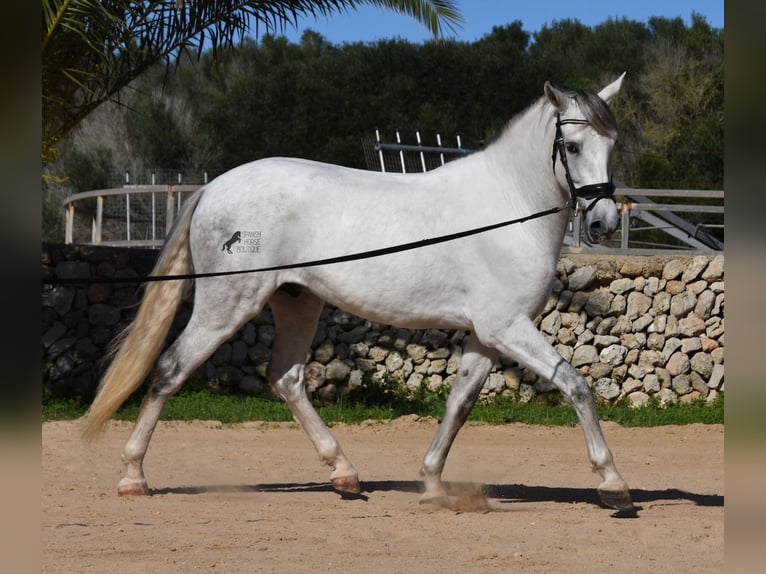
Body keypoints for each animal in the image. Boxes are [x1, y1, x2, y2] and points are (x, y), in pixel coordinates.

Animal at [82, 73, 636, 512]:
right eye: (572, 147)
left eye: (612, 145)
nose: (605, 223)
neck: (508, 208)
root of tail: (213, 187)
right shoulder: (507, 327)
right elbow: (576, 384)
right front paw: (613, 483)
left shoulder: (486, 333)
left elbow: (459, 404)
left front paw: (432, 484)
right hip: (227, 304)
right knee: (171, 370)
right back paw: (133, 477)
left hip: (297, 301)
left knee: (286, 378)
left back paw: (344, 473)